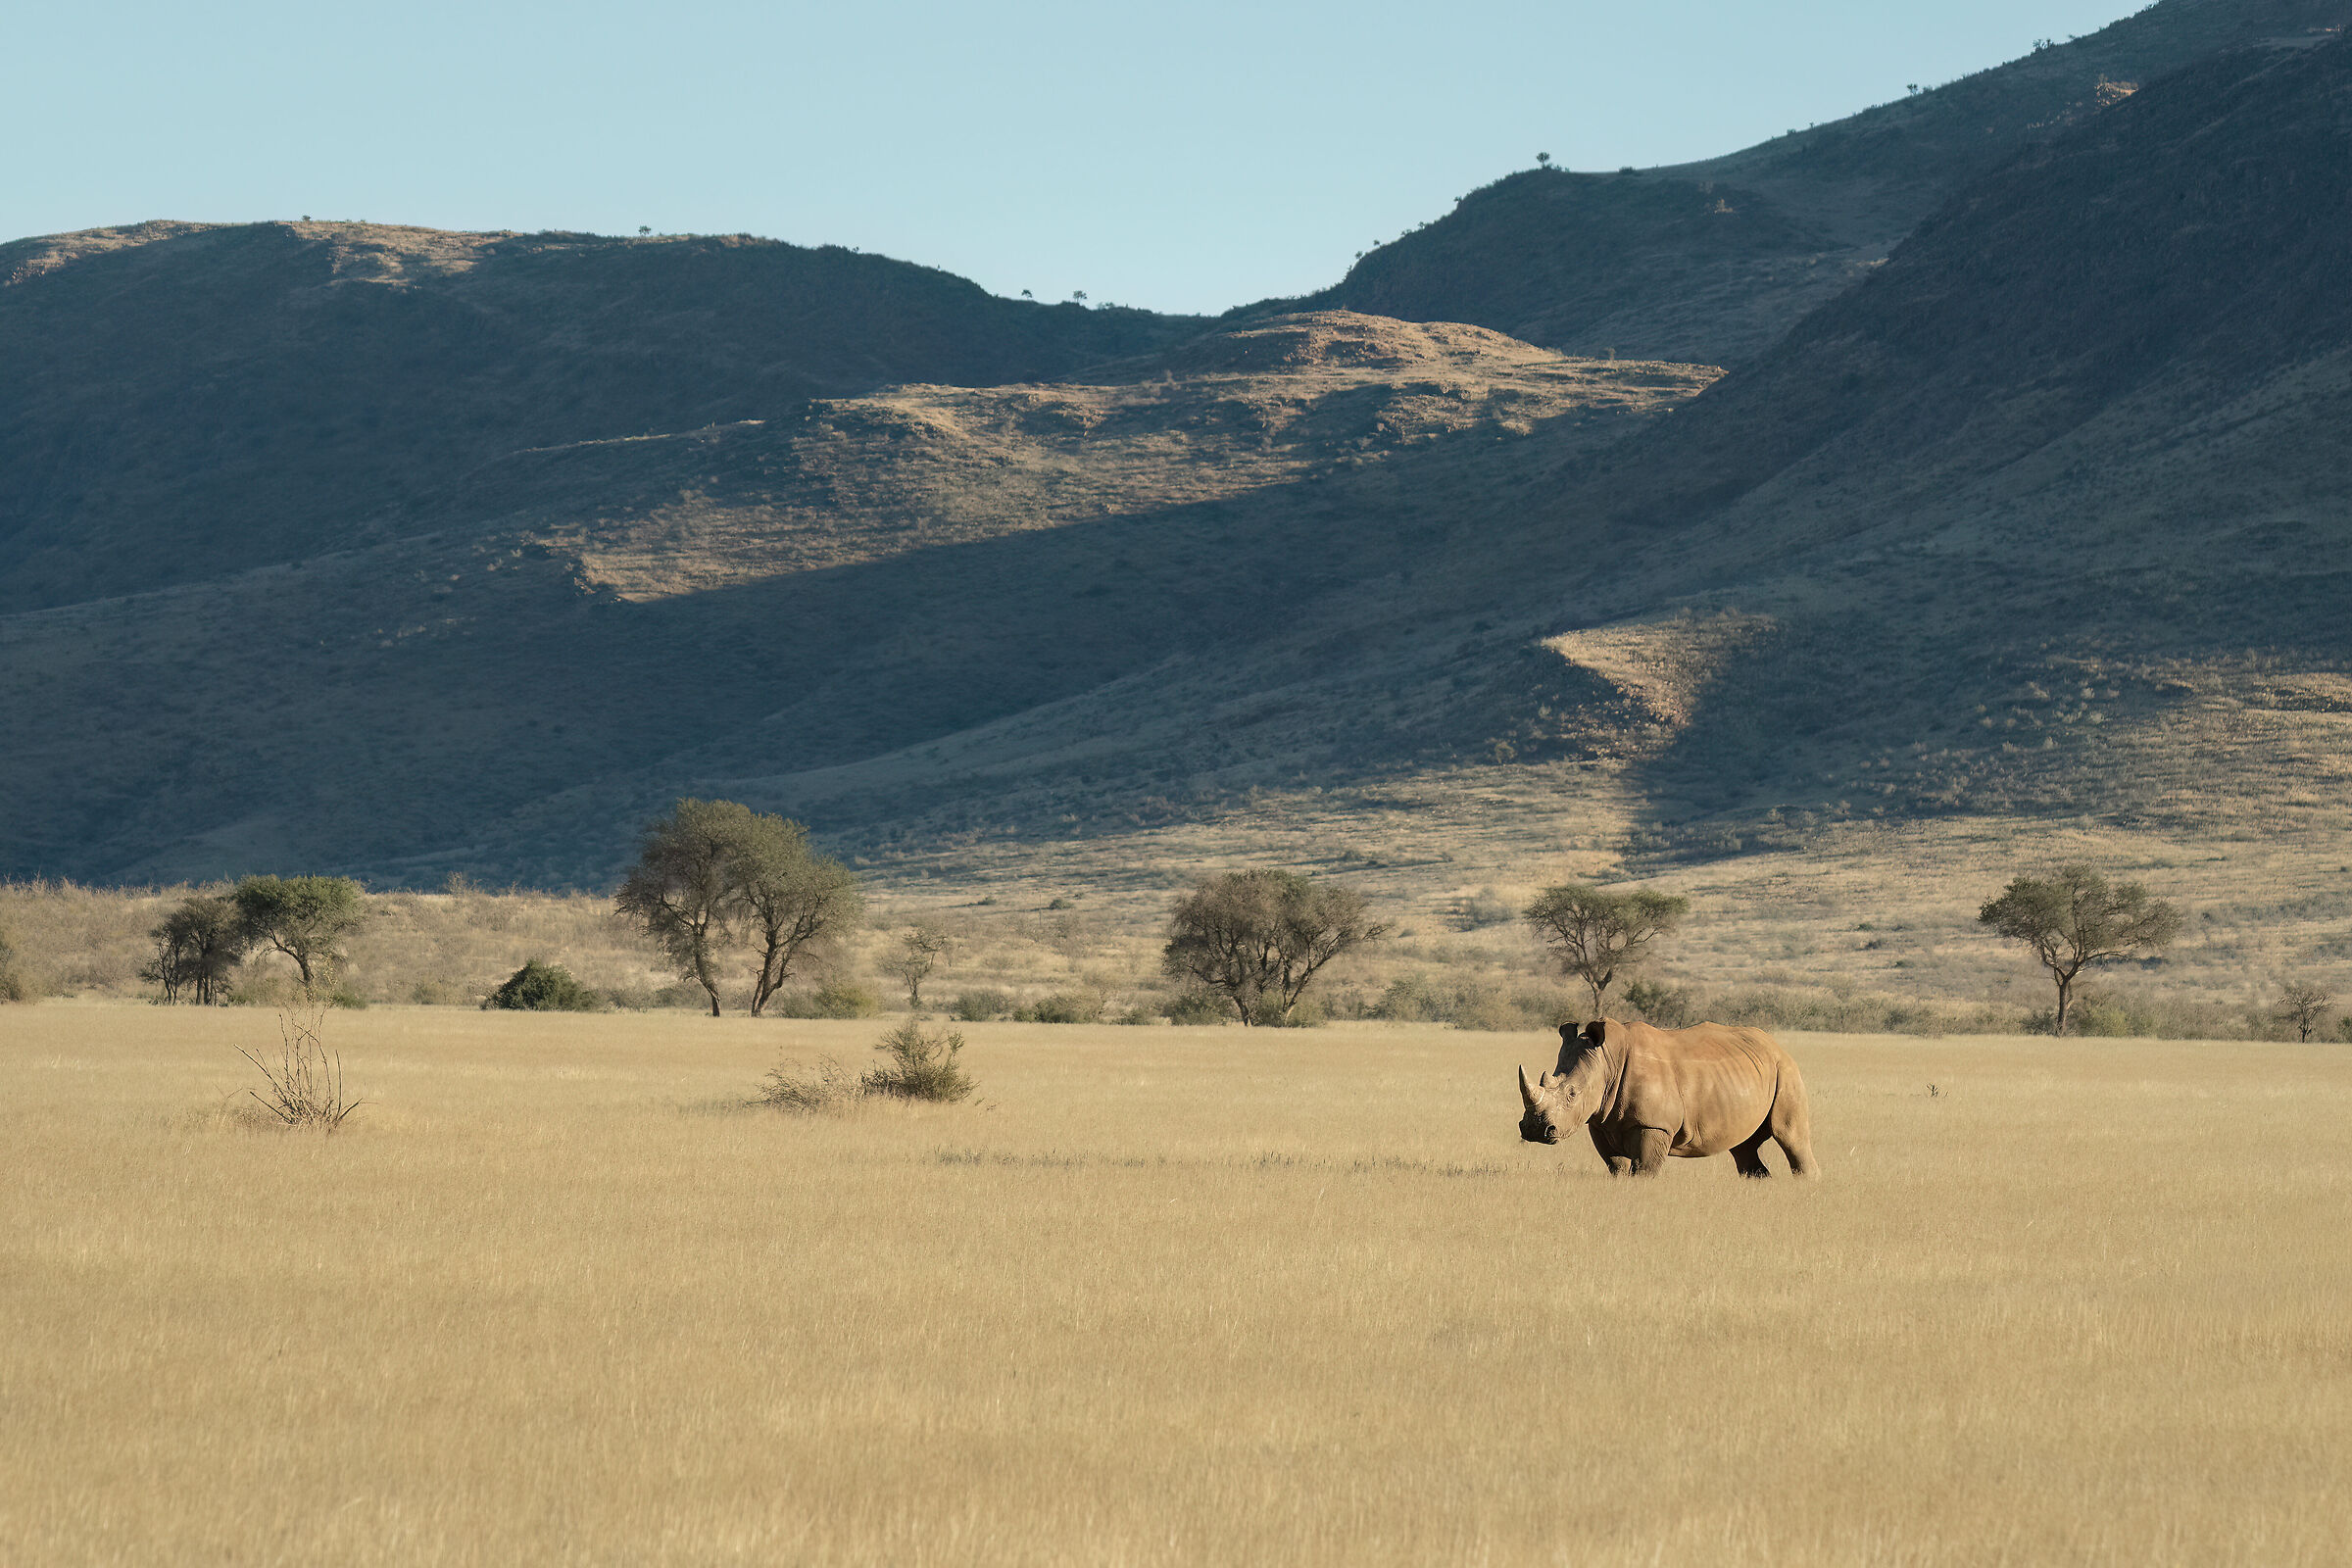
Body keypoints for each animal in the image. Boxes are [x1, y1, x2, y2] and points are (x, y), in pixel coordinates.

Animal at [1517, 1018, 1819, 1177]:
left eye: (1572, 1094)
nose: (1533, 1130)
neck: (1607, 1062)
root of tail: (1775, 1045)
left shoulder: (1654, 1125)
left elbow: (1644, 1171)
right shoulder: (1600, 1122)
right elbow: (1617, 1167)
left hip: (1786, 1071)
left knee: (1791, 1138)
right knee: (1744, 1148)